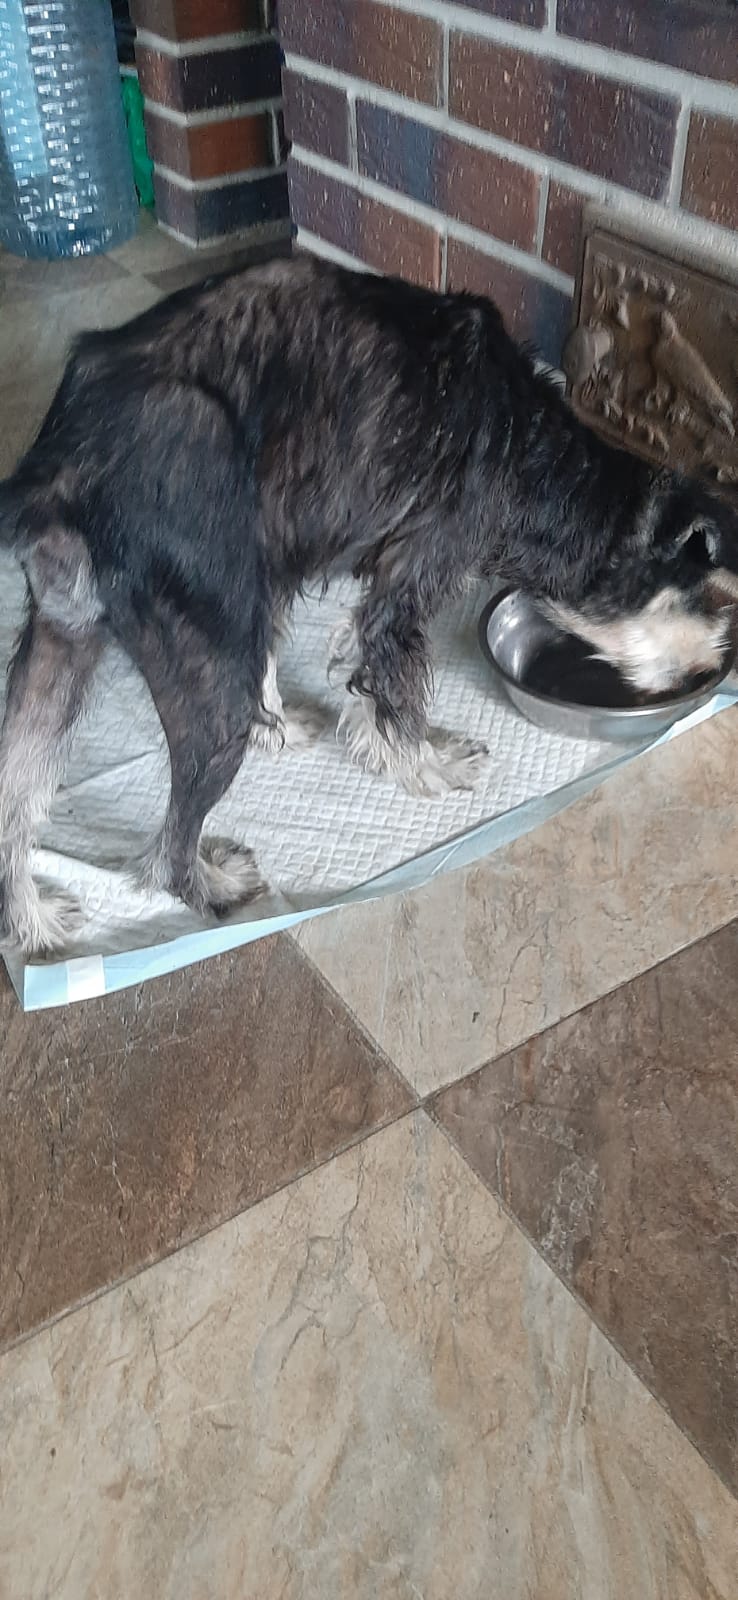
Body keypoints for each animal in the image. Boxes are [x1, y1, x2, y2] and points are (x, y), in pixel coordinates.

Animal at [0, 254, 736, 955]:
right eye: (706, 597)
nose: (709, 671)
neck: (536, 459)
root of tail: (61, 468)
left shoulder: (277, 569)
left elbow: (306, 663)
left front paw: (282, 728)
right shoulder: (406, 586)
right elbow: (394, 699)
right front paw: (430, 766)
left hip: (64, 638)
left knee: (16, 792)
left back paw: (35, 922)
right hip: (208, 676)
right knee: (168, 843)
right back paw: (212, 886)